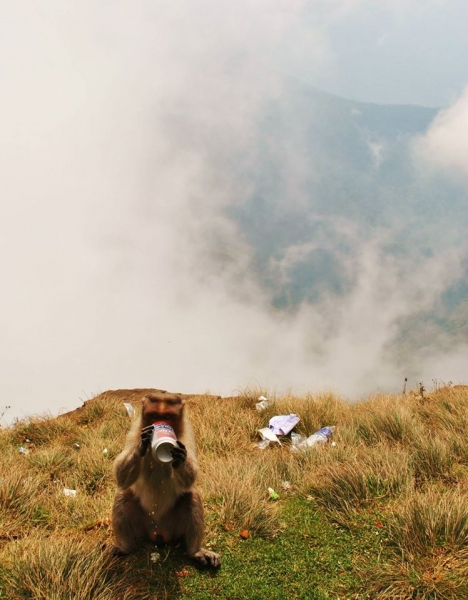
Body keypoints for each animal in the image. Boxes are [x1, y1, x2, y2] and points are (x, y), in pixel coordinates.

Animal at [110, 390, 220, 568]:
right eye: (155, 415)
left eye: (167, 417)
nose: (160, 424)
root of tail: (158, 532)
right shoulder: (135, 429)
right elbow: (121, 477)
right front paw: (142, 444)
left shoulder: (186, 433)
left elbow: (190, 480)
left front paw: (180, 457)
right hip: (143, 525)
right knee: (123, 495)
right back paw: (124, 547)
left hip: (173, 525)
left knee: (192, 497)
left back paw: (195, 552)